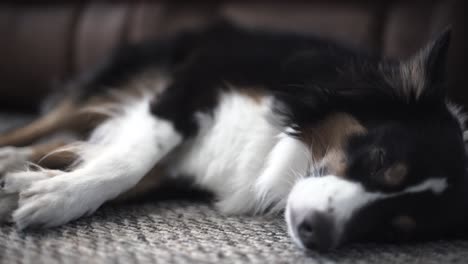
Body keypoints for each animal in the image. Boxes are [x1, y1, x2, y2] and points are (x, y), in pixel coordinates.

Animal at [0, 22, 468, 252]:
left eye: (394, 231)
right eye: (378, 158)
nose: (316, 233)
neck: (286, 147)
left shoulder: (180, 168)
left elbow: (124, 170)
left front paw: (38, 187)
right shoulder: (197, 78)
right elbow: (131, 160)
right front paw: (57, 196)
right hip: (116, 82)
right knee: (41, 124)